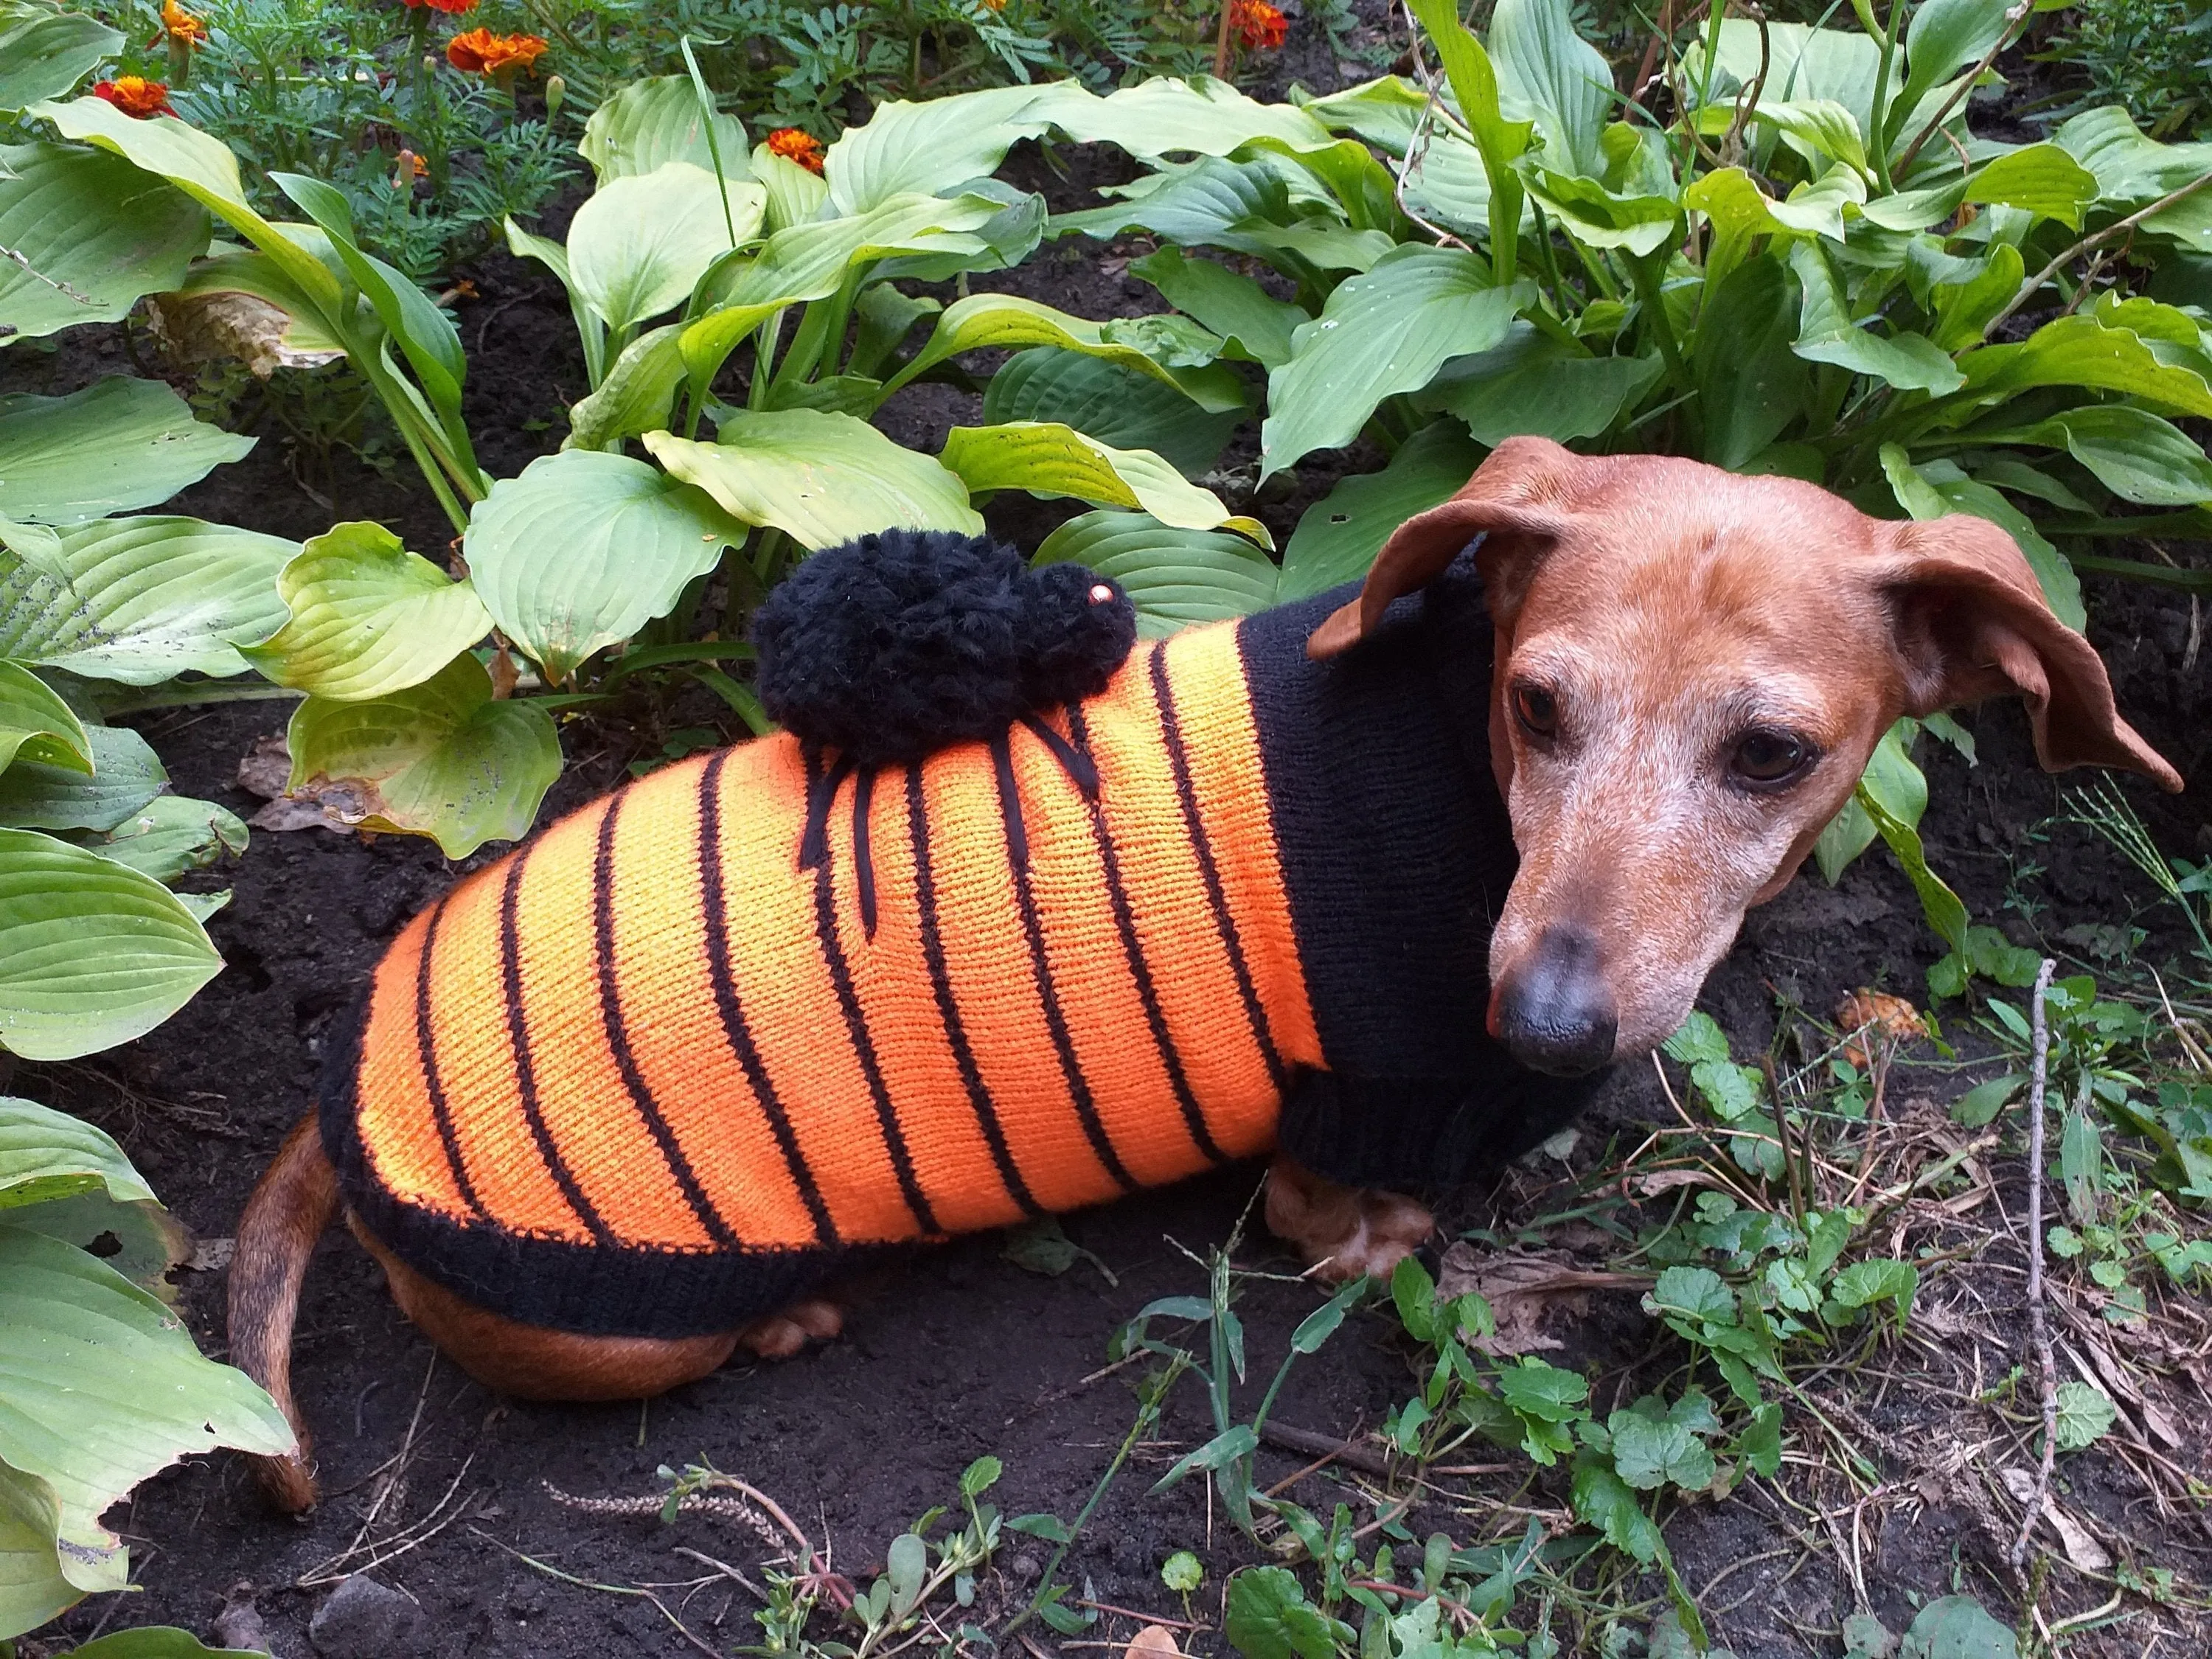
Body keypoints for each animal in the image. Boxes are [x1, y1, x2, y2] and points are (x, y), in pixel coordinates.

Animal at [229, 436, 2177, 1513]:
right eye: (1536, 705)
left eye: (1769, 756)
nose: (1538, 1026)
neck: (1459, 776)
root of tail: (343, 1095)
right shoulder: (1350, 1119)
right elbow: (1355, 1222)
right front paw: (1421, 1246)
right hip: (632, 1317)